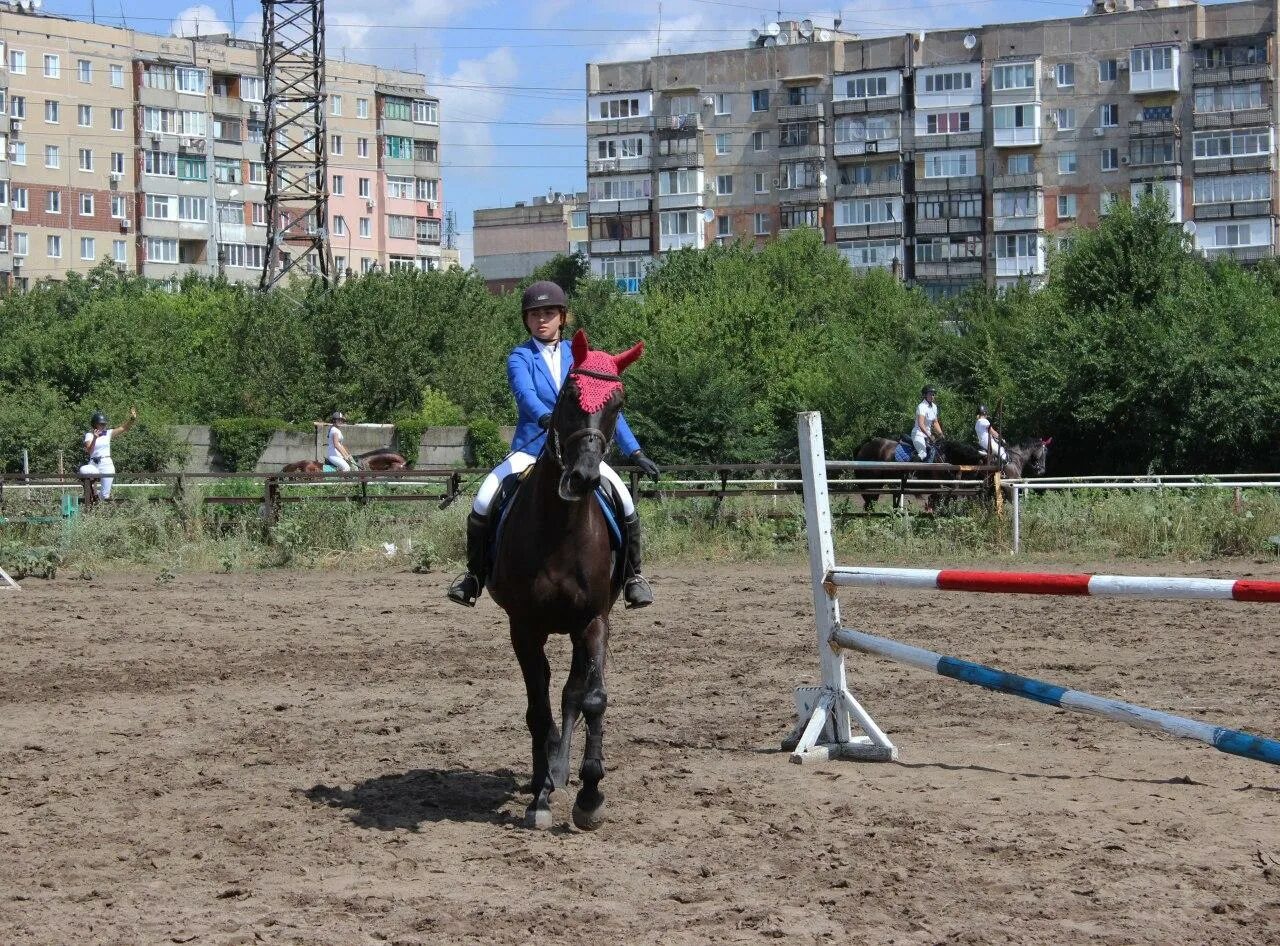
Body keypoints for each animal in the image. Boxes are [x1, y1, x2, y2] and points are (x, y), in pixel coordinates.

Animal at [491, 330, 650, 834]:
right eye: (569, 397)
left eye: (618, 403)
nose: (582, 478)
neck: (561, 528)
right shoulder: (524, 628)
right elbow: (538, 712)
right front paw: (541, 799)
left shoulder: (594, 621)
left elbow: (592, 698)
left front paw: (590, 795)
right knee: (545, 699)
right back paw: (547, 777)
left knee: (572, 694)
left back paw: (563, 773)